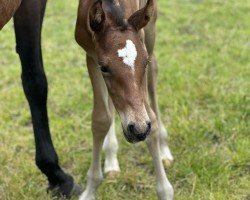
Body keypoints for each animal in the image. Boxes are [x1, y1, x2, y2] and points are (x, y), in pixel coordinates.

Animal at [75, 0, 174, 198]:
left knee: (154, 75)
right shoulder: (91, 55)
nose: (138, 130)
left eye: (144, 63)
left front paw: (165, 191)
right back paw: (111, 157)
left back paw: (164, 150)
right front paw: (90, 191)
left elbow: (151, 119)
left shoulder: (143, 44)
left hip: (151, 29)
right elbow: (101, 119)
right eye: (104, 68)